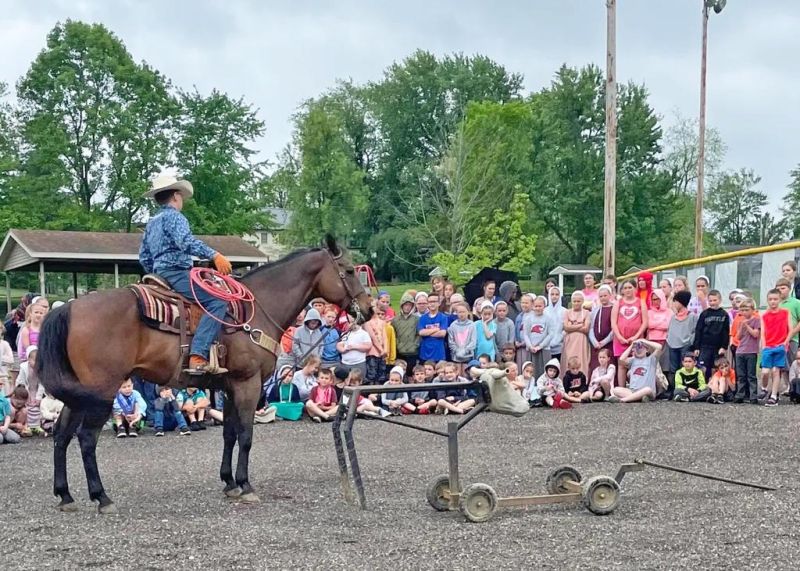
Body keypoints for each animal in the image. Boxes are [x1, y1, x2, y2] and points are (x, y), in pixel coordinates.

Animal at [36, 237, 374, 512]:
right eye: (347, 270)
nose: (368, 309)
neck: (259, 309)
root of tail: (68, 309)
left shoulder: (229, 385)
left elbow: (229, 433)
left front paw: (229, 482)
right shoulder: (248, 383)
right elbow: (246, 435)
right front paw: (246, 485)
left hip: (78, 394)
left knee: (62, 436)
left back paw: (65, 495)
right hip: (101, 392)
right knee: (86, 439)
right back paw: (101, 497)